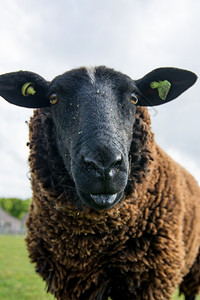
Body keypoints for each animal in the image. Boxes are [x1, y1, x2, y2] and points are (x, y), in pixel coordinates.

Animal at [0, 66, 200, 300]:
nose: (104, 166)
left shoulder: (149, 281)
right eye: (53, 98)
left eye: (134, 98)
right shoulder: (74, 283)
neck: (93, 244)